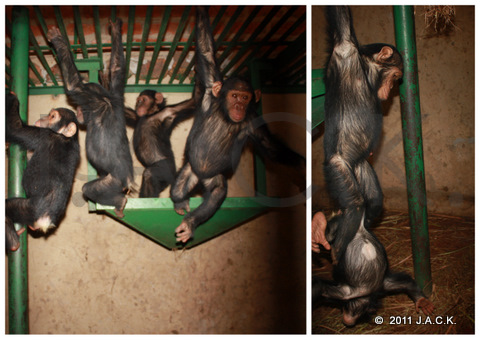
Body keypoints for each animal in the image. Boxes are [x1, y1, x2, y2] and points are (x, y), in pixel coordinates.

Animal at [5, 91, 79, 251]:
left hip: (30, 210)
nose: (43, 118)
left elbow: (15, 127)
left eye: (53, 116)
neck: (66, 138)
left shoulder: (44, 135)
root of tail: (45, 221)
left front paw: (11, 96)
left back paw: (13, 241)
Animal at [47, 19, 133, 218]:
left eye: (81, 108)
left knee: (90, 189)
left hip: (112, 184)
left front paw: (58, 39)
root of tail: (129, 182)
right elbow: (117, 68)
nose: (78, 112)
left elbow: (74, 85)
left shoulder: (89, 100)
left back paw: (119, 203)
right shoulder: (117, 94)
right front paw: (115, 27)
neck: (105, 99)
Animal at [171, 6, 306, 243]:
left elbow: (268, 144)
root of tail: (201, 179)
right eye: (234, 95)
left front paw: (301, 166)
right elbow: (206, 52)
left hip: (213, 178)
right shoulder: (210, 89)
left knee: (217, 193)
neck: (226, 115)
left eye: (245, 97)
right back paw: (180, 202)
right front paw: (201, 10)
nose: (239, 106)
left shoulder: (252, 121)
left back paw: (190, 223)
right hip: (191, 168)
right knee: (178, 188)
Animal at [312, 5, 436, 324]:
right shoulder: (344, 49)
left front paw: (420, 299)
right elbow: (341, 22)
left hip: (362, 169)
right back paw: (336, 245)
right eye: (396, 76)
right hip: (340, 168)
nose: (390, 89)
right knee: (355, 202)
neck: (366, 69)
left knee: (373, 202)